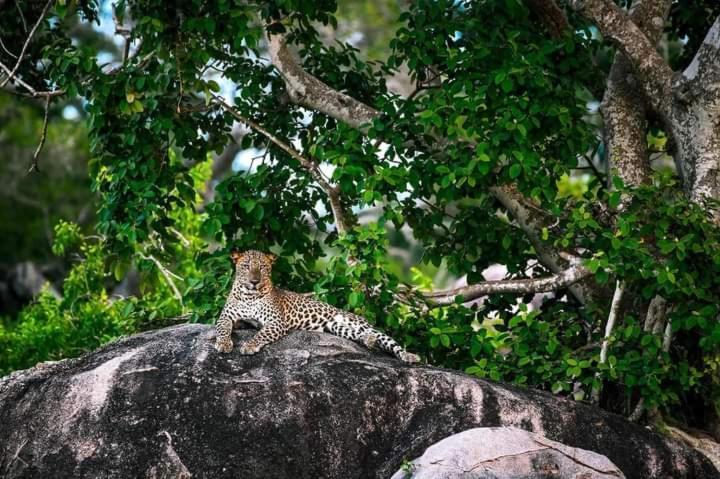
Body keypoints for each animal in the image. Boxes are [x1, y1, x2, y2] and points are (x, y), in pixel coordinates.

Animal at [212, 251, 422, 364]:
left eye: (262, 268)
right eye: (246, 266)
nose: (254, 281)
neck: (249, 295)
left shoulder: (276, 322)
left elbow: (261, 334)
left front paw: (249, 345)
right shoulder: (227, 317)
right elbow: (222, 329)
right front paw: (223, 344)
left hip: (357, 323)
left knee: (389, 342)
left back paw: (409, 356)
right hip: (337, 327)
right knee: (362, 336)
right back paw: (368, 341)